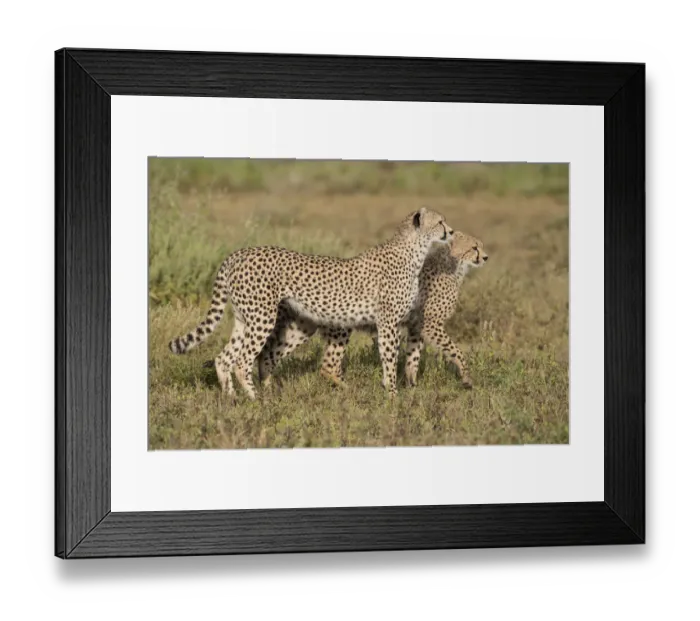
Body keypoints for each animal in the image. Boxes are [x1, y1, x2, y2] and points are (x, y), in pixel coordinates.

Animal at [168, 207, 455, 401]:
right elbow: (389, 357)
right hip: (262, 318)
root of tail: (238, 253)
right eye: (440, 221)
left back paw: (232, 399)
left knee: (224, 358)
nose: (450, 231)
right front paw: (393, 395)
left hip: (250, 319)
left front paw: (390, 388)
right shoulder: (388, 323)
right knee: (242, 360)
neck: (414, 251)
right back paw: (255, 400)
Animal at [257, 231, 488, 390]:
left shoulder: (416, 327)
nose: (486, 257)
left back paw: (268, 387)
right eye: (474, 247)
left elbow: (413, 356)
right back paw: (349, 389)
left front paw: (411, 385)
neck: (451, 264)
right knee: (326, 365)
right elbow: (456, 350)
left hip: (304, 326)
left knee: (270, 354)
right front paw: (467, 379)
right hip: (341, 324)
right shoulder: (431, 324)